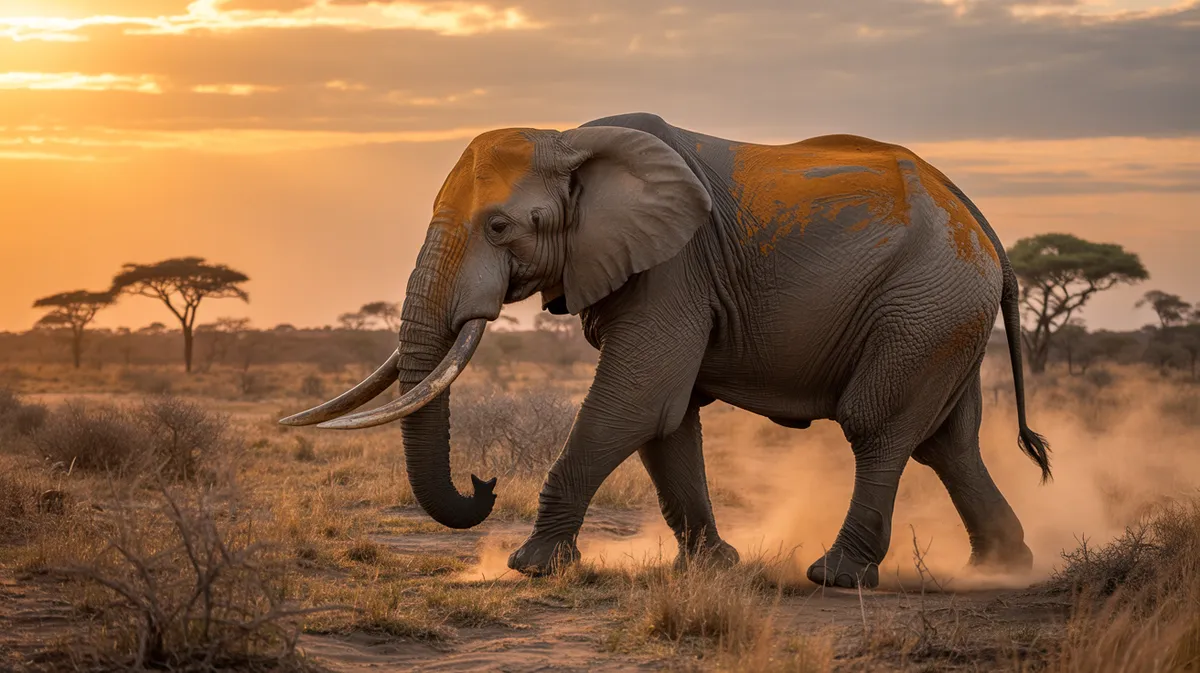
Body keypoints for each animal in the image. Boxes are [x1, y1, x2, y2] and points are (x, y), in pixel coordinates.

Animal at [281, 112, 1050, 589]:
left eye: (499, 226)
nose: (484, 482)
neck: (571, 138)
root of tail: (986, 229)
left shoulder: (676, 267)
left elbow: (636, 400)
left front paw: (531, 567)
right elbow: (666, 419)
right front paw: (714, 569)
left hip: (924, 303)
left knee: (880, 428)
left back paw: (836, 576)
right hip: (945, 315)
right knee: (948, 443)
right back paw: (1003, 567)